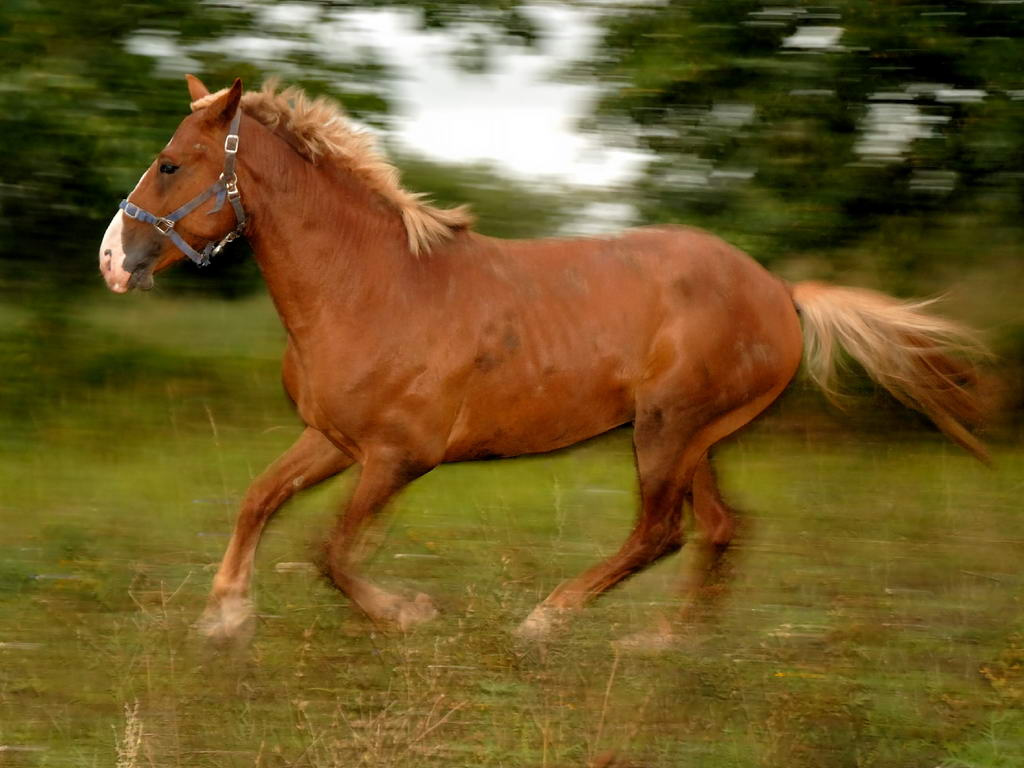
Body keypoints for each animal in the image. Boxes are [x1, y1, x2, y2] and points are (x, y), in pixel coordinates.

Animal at [97, 76, 987, 642]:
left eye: (170, 163)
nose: (112, 260)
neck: (370, 288)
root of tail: (780, 291)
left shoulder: (397, 458)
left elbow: (331, 552)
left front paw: (408, 613)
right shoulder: (331, 440)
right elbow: (257, 502)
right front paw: (223, 615)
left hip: (666, 430)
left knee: (659, 533)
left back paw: (548, 619)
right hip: (695, 438)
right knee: (719, 529)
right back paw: (665, 642)